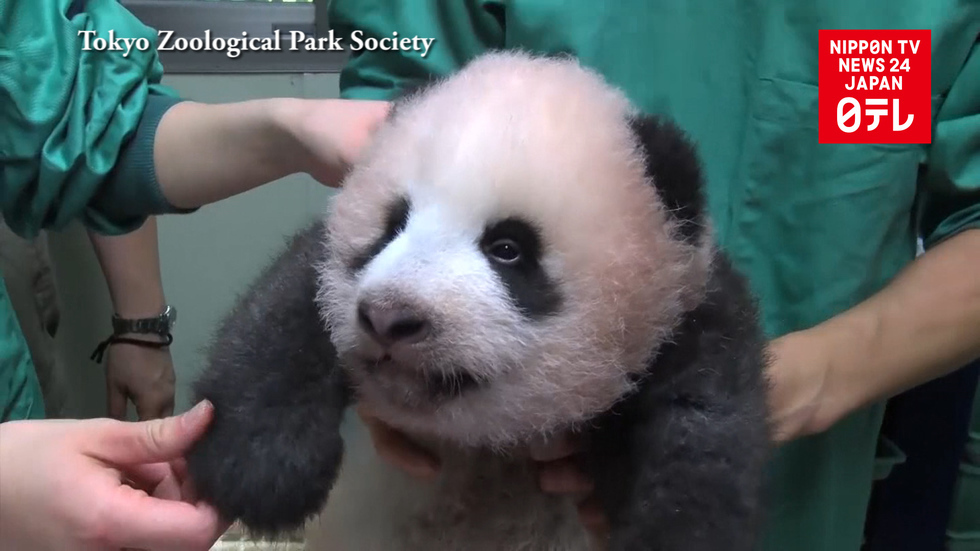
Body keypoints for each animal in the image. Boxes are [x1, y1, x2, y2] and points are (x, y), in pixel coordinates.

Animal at [186, 51, 773, 551]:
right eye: (392, 224)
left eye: (507, 248)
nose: (389, 317)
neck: (484, 445)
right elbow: (283, 314)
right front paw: (259, 473)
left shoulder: (685, 304)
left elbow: (702, 417)